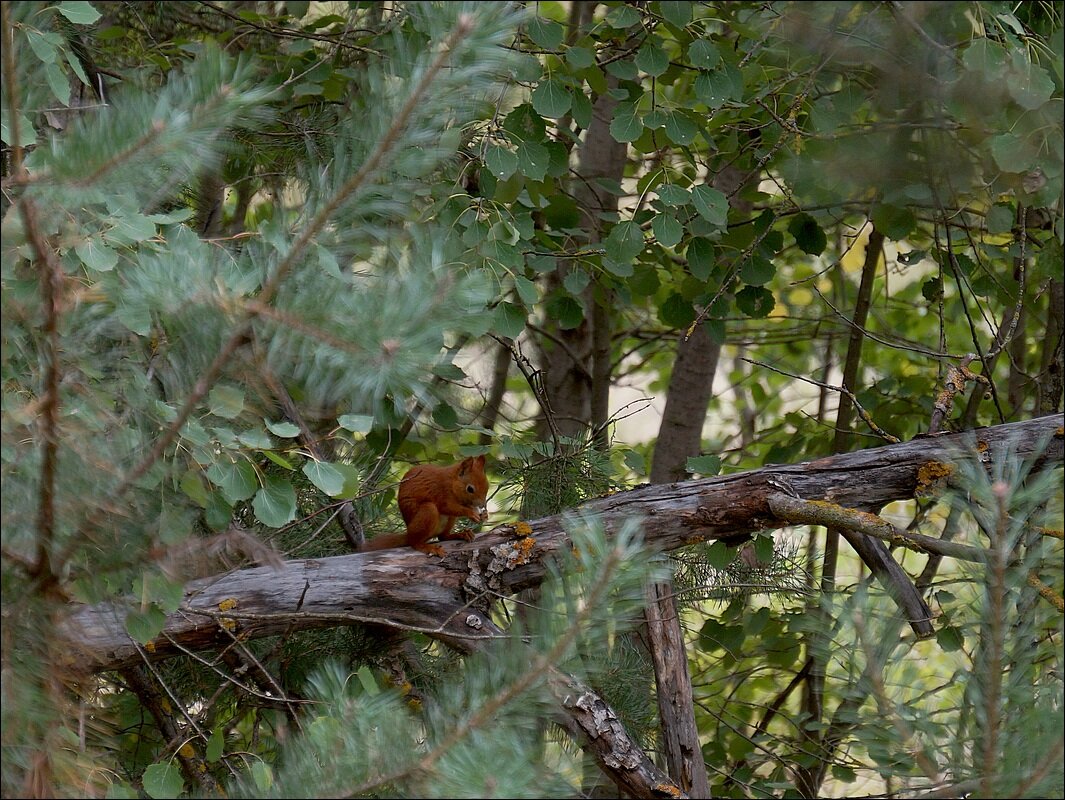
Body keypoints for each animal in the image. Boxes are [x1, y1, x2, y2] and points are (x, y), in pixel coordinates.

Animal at [359, 455, 487, 558]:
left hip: (448, 520)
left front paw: (484, 515)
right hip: (427, 511)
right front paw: (471, 513)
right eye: (470, 489)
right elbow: (447, 507)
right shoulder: (441, 492)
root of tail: (408, 532)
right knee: (414, 542)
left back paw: (461, 534)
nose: (482, 504)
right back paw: (428, 547)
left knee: (443, 537)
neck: (452, 482)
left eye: (487, 486)